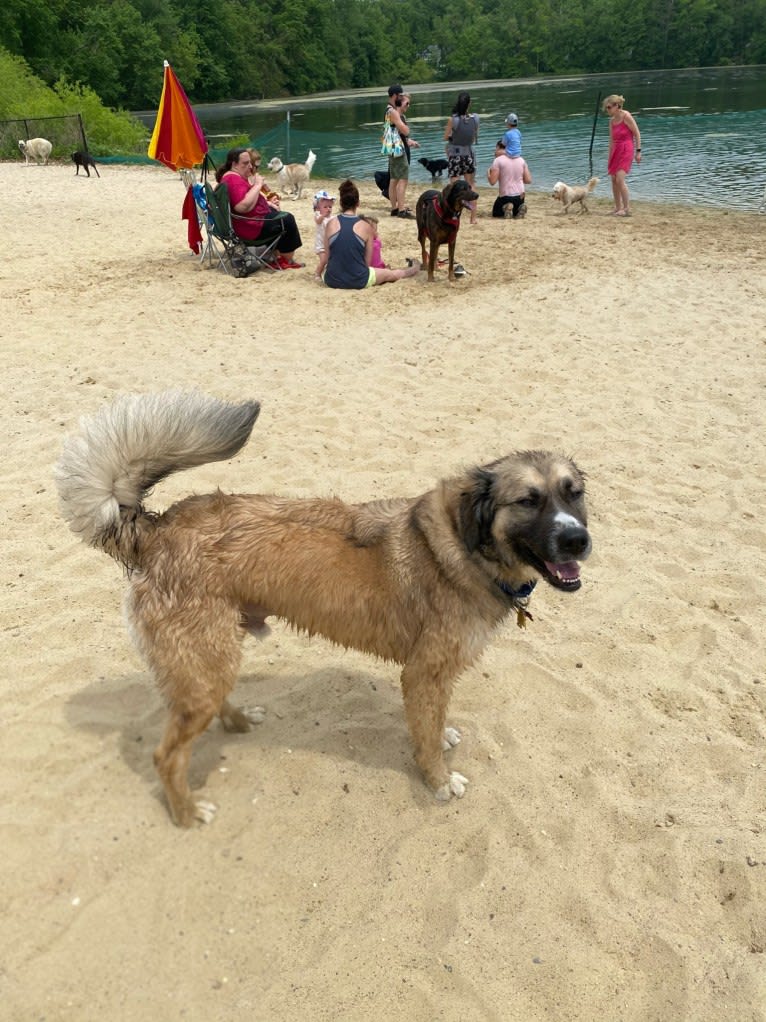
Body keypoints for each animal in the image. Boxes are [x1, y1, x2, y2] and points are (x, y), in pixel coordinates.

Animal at [56, 390, 592, 829]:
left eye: (575, 493)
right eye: (527, 500)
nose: (578, 540)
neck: (464, 546)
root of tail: (155, 530)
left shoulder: (435, 677)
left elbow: (435, 722)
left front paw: (442, 739)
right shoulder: (423, 673)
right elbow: (425, 734)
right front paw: (439, 780)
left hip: (211, 661)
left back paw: (237, 722)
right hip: (202, 664)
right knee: (166, 757)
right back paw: (187, 813)